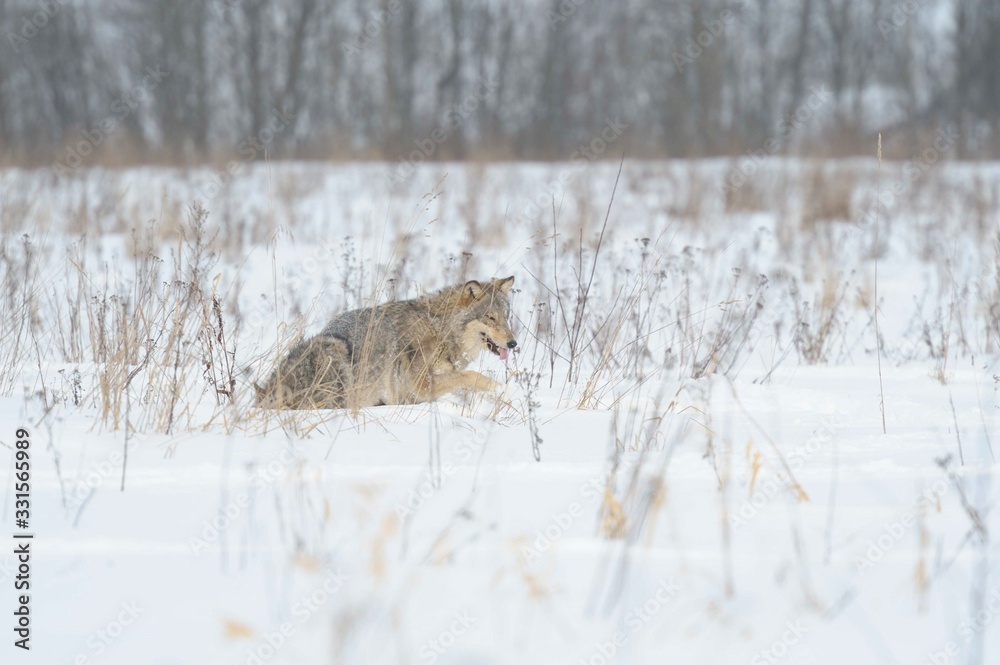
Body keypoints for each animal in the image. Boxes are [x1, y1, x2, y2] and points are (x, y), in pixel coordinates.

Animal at [256, 276, 517, 410]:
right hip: (336, 352)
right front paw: (504, 392)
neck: (440, 330)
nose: (513, 343)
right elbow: (472, 376)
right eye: (490, 318)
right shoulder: (421, 385)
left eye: (506, 316)